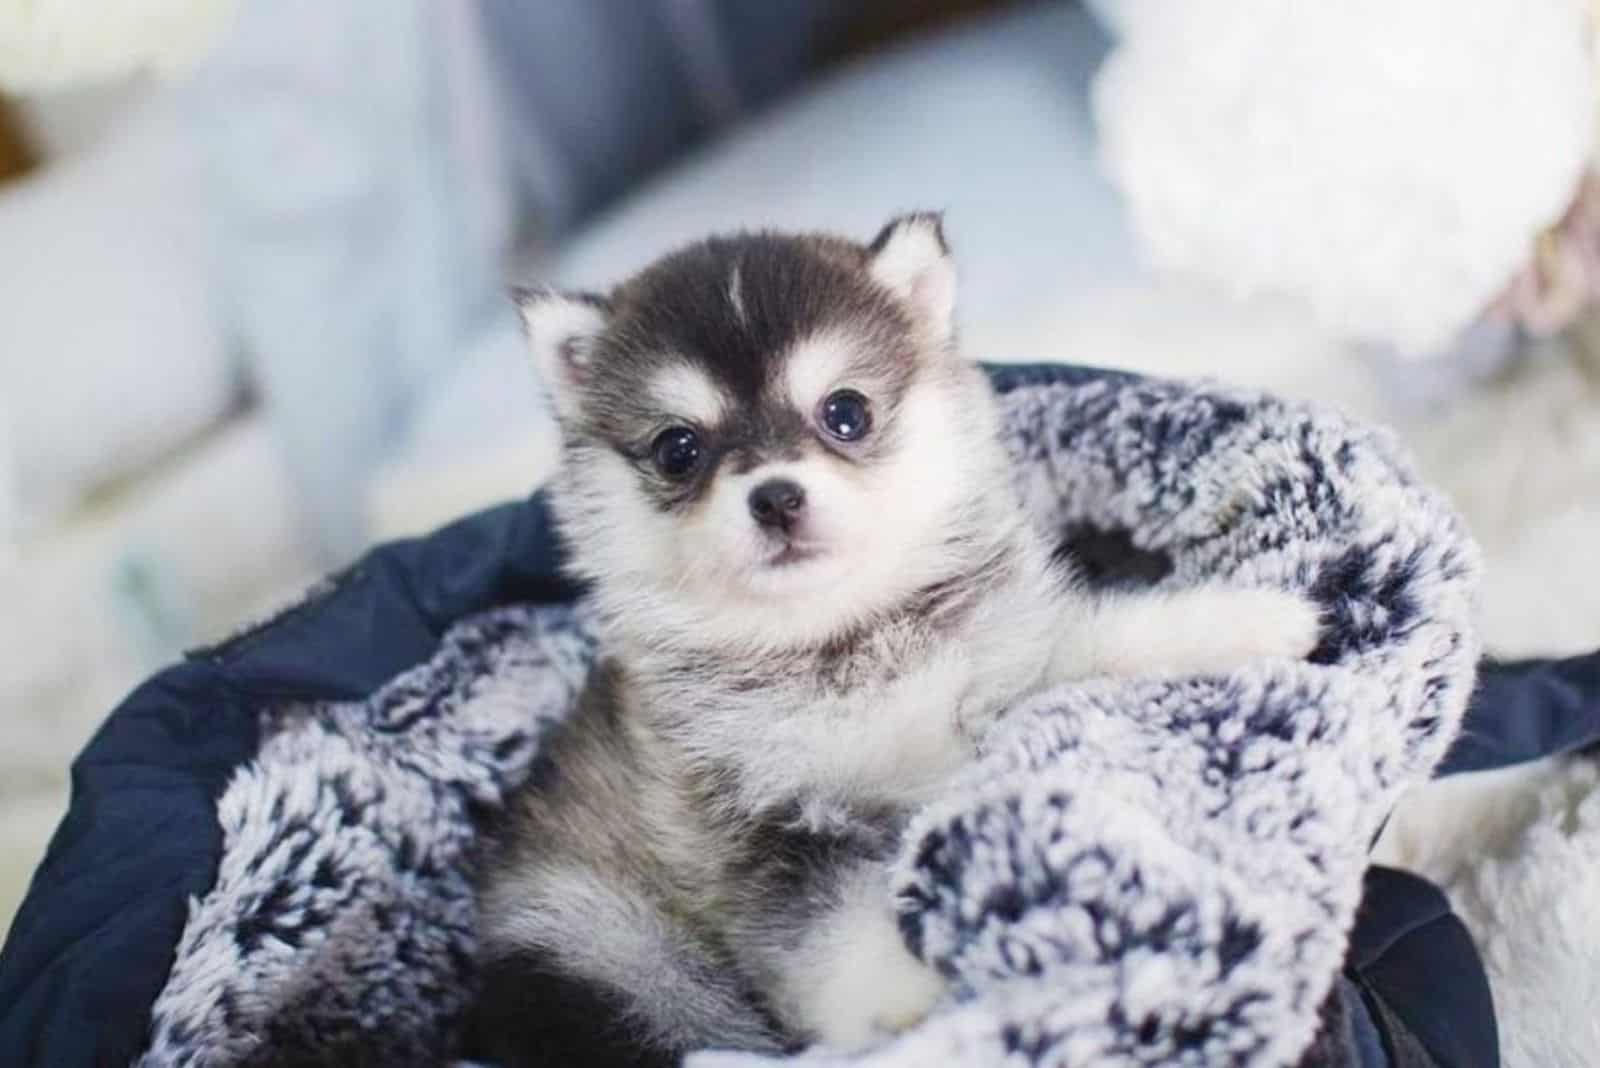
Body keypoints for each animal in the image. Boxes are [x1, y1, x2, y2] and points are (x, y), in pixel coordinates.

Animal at [467, 212, 1318, 1061]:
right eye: (679, 449)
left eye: (846, 411)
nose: (775, 498)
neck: (847, 637)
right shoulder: (759, 832)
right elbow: (828, 926)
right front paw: (907, 1003)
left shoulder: (1008, 666)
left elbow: (1098, 641)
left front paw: (1244, 622)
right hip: (594, 935)